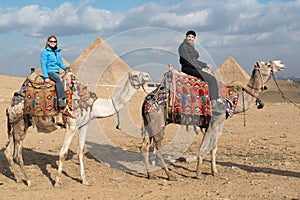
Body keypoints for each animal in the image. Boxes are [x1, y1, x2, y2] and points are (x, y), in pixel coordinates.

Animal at [5, 69, 152, 187]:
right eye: (135, 75)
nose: (148, 77)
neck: (93, 105)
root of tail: (13, 100)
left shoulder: (84, 125)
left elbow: (80, 151)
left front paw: (85, 180)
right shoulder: (71, 125)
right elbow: (63, 153)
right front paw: (57, 182)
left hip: (18, 124)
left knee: (8, 151)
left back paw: (18, 179)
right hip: (20, 124)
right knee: (17, 154)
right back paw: (29, 181)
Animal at [141, 59, 286, 180]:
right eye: (267, 64)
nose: (281, 63)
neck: (233, 100)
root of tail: (146, 101)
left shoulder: (214, 125)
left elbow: (213, 147)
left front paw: (214, 171)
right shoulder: (215, 122)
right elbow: (204, 147)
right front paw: (198, 173)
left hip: (149, 123)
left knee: (145, 147)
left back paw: (150, 174)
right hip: (158, 122)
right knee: (157, 149)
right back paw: (170, 176)